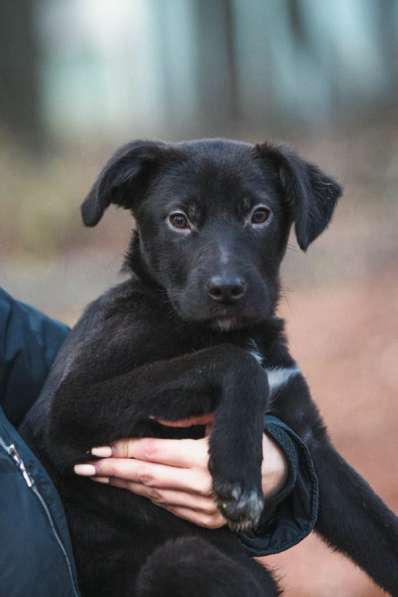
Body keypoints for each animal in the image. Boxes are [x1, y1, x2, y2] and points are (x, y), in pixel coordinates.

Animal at [21, 137, 398, 592]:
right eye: (179, 220)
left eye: (259, 214)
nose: (227, 289)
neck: (227, 332)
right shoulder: (69, 409)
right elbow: (235, 364)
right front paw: (238, 475)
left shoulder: (309, 438)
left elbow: (379, 529)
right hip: (184, 558)